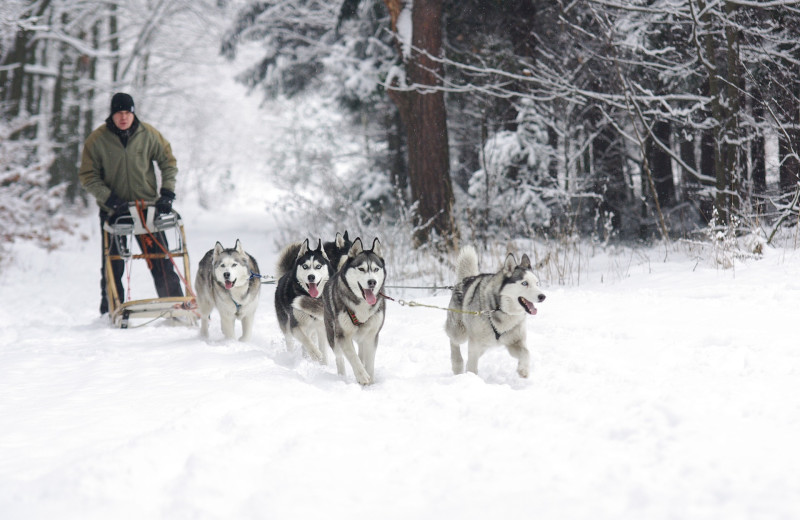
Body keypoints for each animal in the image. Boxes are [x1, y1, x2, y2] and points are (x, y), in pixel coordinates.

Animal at [302, 238, 386, 384]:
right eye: (361, 269)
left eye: (376, 269)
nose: (372, 282)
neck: (361, 304)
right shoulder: (343, 335)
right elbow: (352, 356)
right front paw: (362, 376)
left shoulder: (371, 335)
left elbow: (369, 362)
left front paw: (370, 381)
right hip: (332, 335)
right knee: (340, 357)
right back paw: (342, 376)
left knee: (361, 354)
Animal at [444, 246, 544, 376]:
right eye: (524, 283)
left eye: (537, 283)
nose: (543, 296)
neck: (502, 310)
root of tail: (465, 280)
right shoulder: (475, 344)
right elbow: (472, 366)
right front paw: (472, 377)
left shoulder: (514, 342)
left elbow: (526, 353)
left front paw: (523, 370)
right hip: (460, 332)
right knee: (453, 342)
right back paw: (457, 364)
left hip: (484, 345)